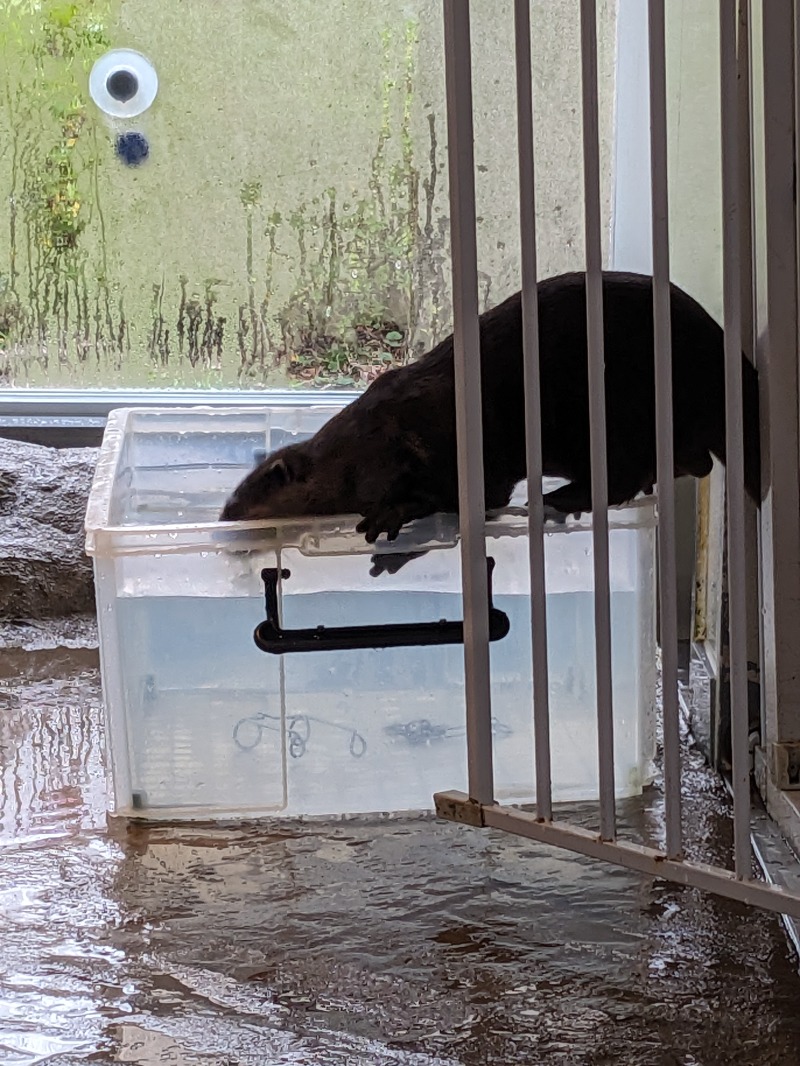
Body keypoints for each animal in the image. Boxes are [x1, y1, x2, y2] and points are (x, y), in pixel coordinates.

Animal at [220, 270, 763, 541]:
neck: (375, 443)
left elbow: (474, 496)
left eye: (253, 488)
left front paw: (391, 512)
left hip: (623, 413)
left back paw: (560, 499)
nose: (225, 513)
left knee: (622, 476)